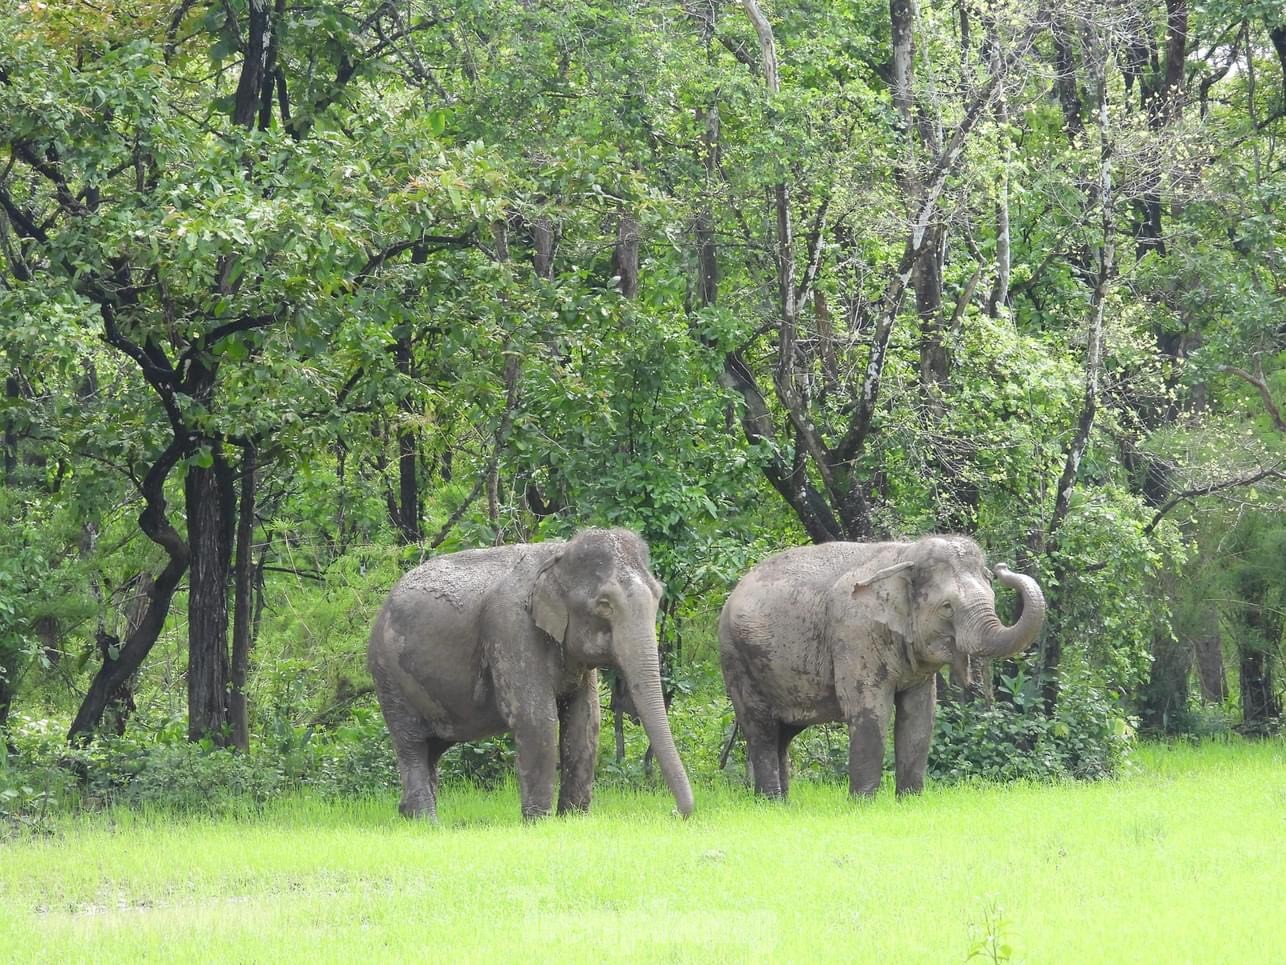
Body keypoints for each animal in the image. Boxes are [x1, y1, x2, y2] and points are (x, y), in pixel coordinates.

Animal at [367, 530, 694, 823]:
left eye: (658, 596)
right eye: (604, 604)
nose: (673, 812)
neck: (557, 555)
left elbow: (585, 720)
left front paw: (573, 819)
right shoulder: (510, 628)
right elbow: (536, 717)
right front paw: (537, 822)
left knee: (432, 747)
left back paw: (409, 815)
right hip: (388, 675)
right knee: (411, 744)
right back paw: (427, 822)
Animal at [720, 537, 1049, 802]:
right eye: (947, 607)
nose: (1003, 568)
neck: (906, 553)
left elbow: (919, 715)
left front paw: (910, 803)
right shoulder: (855, 633)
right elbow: (870, 710)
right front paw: (862, 806)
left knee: (784, 733)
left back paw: (782, 805)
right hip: (736, 657)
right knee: (760, 728)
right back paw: (771, 803)